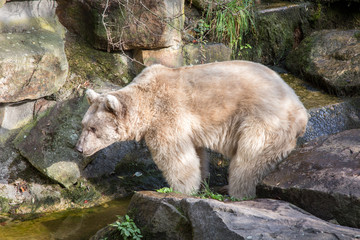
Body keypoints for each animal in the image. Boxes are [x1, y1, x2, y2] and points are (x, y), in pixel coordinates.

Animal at [75, 60, 306, 199]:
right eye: (83, 125)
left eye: (93, 128)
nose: (79, 148)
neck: (145, 101)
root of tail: (300, 111)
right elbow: (197, 154)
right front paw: (201, 182)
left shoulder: (166, 116)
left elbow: (176, 157)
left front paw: (181, 190)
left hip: (264, 122)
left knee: (249, 160)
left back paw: (237, 192)